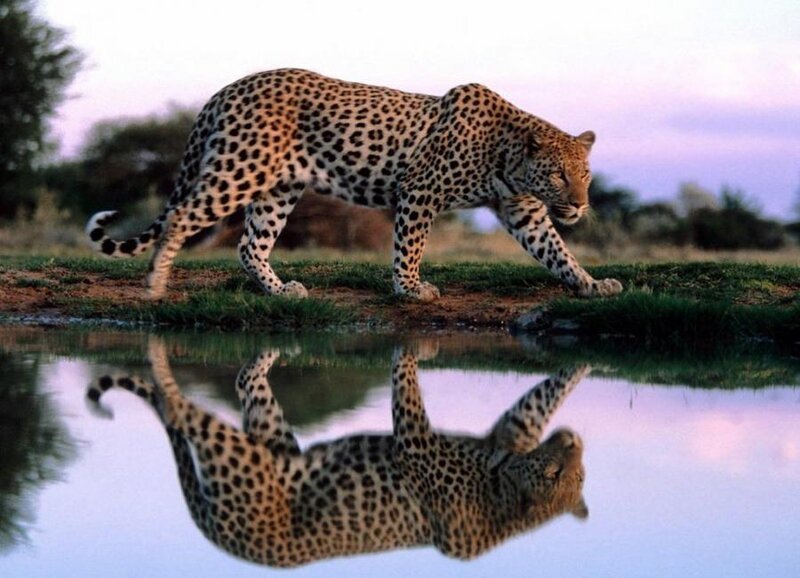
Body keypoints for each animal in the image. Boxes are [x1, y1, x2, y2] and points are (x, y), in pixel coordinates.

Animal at [85, 68, 622, 301]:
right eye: (558, 174)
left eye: (585, 176)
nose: (580, 205)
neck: (507, 155)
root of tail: (227, 89)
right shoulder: (420, 191)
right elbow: (409, 246)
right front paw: (410, 289)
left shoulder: (523, 211)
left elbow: (556, 250)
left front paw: (591, 284)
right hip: (240, 170)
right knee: (180, 215)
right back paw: (155, 284)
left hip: (277, 189)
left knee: (249, 244)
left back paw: (280, 291)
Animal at [86, 338, 589, 567]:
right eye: (554, 475)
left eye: (578, 477)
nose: (574, 441)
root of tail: (225, 541)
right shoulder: (419, 442)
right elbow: (407, 387)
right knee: (180, 408)